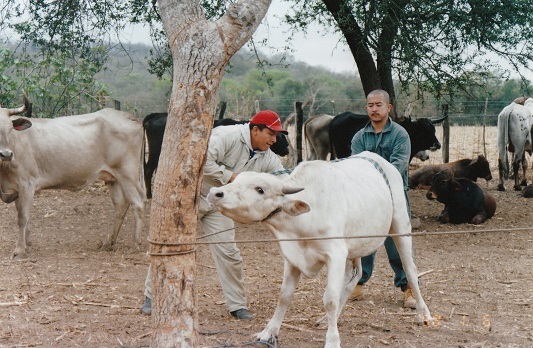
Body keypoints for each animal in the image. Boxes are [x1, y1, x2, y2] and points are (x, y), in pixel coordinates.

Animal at [0, 102, 145, 260]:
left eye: (10, 129)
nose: (6, 154)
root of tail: (127, 116)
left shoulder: (27, 184)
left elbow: (22, 217)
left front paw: (19, 251)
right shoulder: (17, 189)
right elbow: (26, 219)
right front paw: (28, 245)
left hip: (128, 174)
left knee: (137, 204)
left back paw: (134, 246)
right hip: (114, 178)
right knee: (120, 206)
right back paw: (108, 243)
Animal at [141, 112, 288, 197]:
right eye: (280, 137)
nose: (287, 148)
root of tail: (155, 115)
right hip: (156, 151)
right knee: (148, 169)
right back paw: (149, 195)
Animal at [206, 152, 430, 348]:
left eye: (260, 189)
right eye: (237, 180)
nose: (216, 193)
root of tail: (381, 161)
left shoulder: (335, 254)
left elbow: (329, 299)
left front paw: (332, 340)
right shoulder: (293, 258)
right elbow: (284, 295)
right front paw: (269, 332)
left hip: (400, 225)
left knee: (410, 269)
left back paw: (424, 314)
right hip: (354, 246)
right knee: (355, 276)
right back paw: (329, 319)